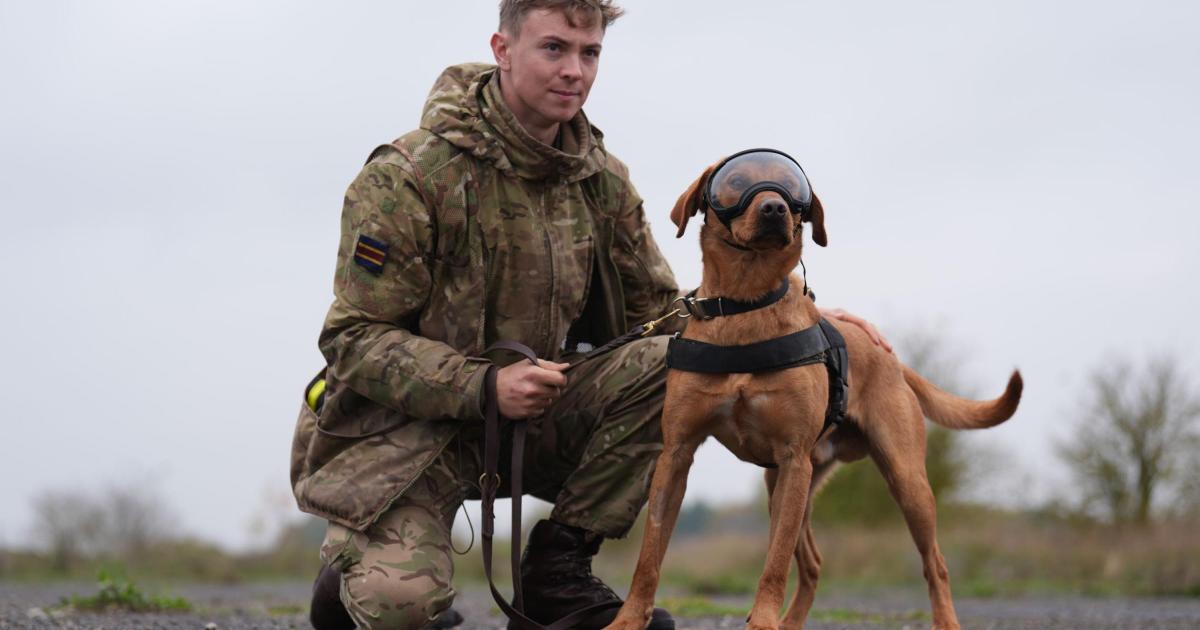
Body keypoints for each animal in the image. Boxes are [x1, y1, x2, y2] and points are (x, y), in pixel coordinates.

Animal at [604, 153, 1027, 628]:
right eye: (735, 181)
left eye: (793, 188)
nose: (774, 208)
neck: (746, 304)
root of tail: (890, 358)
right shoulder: (677, 455)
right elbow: (649, 557)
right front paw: (626, 621)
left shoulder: (793, 459)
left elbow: (773, 563)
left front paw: (763, 621)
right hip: (786, 484)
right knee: (813, 563)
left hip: (900, 479)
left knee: (933, 562)